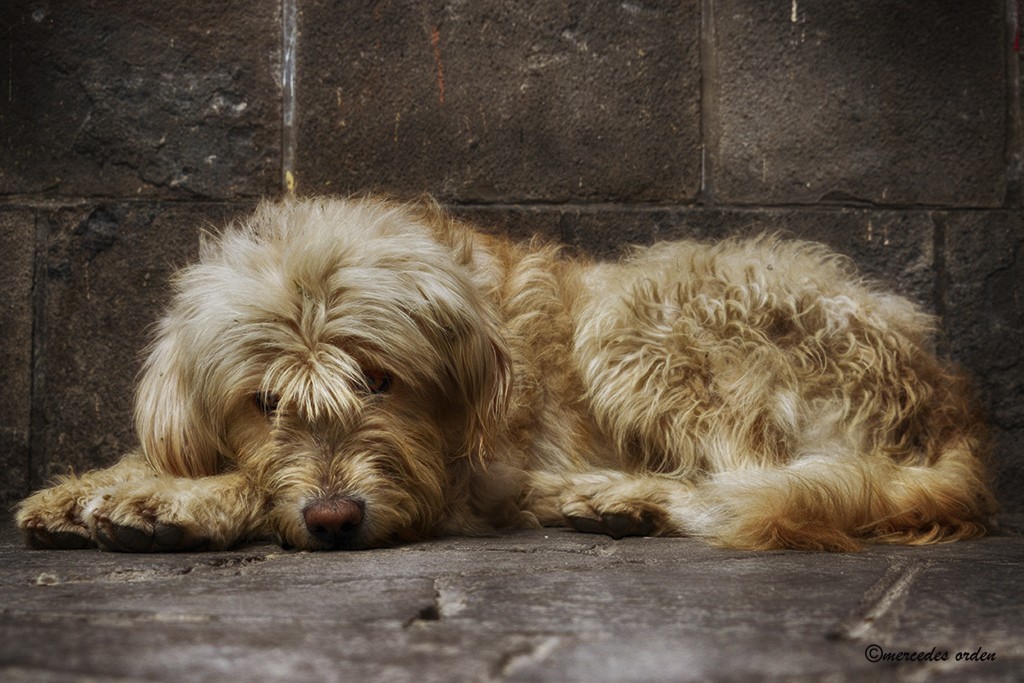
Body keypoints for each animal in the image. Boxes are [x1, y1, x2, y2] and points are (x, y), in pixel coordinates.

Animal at [12, 194, 995, 552]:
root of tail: (946, 399)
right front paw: (91, 486)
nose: (334, 518)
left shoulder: (452, 474)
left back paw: (612, 496)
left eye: (378, 379)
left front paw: (171, 503)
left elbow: (252, 484)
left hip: (638, 314)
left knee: (748, 478)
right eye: (264, 400)